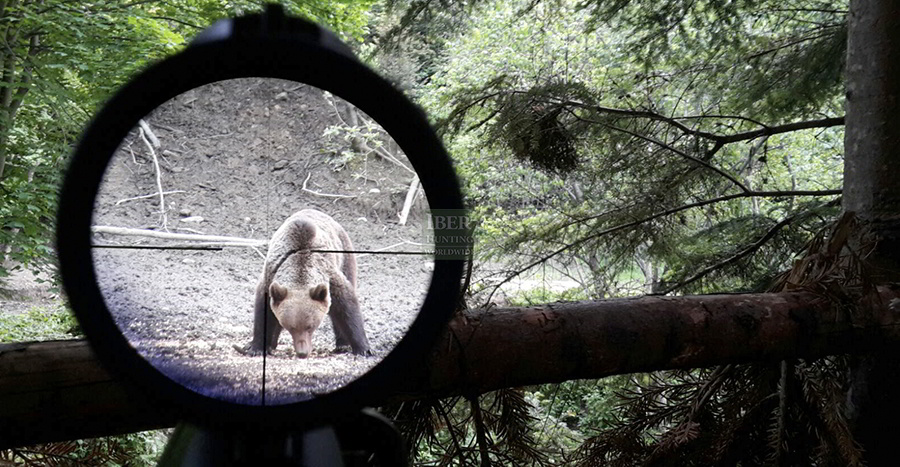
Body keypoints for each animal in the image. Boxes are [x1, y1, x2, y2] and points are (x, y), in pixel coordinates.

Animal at [237, 209, 370, 358]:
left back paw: (343, 345)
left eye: (310, 326)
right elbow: (264, 313)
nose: (302, 352)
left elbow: (347, 308)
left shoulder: (332, 279)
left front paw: (363, 348)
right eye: (291, 327)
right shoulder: (270, 277)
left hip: (345, 258)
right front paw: (256, 347)